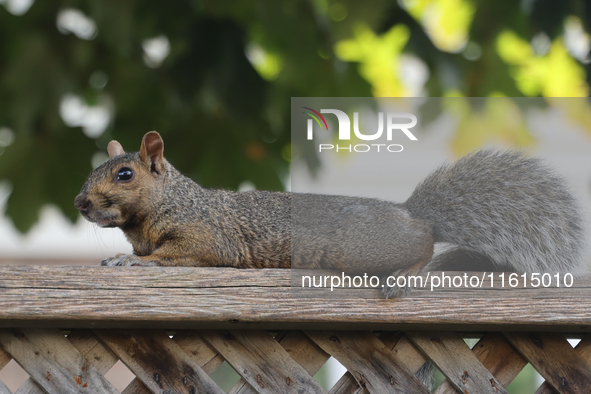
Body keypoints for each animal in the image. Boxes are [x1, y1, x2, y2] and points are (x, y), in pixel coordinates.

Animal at [75, 132, 588, 296]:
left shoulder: (208, 235)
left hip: (363, 248)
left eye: (124, 174)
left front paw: (130, 260)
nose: (80, 202)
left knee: (422, 246)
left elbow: (172, 254)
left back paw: (405, 273)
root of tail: (409, 213)